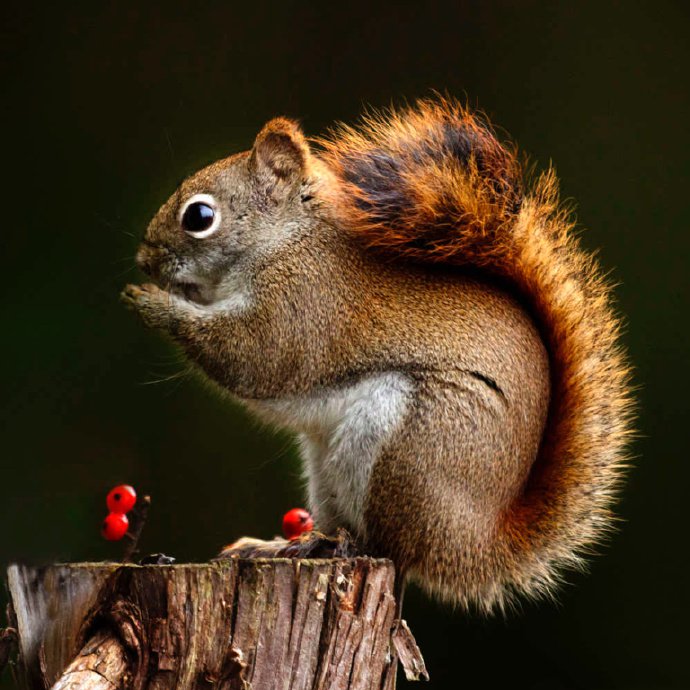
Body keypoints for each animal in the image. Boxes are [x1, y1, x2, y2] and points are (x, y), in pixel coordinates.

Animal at [122, 98, 628, 612]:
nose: (145, 261)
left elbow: (252, 355)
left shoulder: (304, 303)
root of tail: (474, 545)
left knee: (387, 545)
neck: (287, 239)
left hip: (407, 445)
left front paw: (153, 301)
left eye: (200, 216)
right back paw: (281, 546)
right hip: (326, 464)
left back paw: (328, 547)